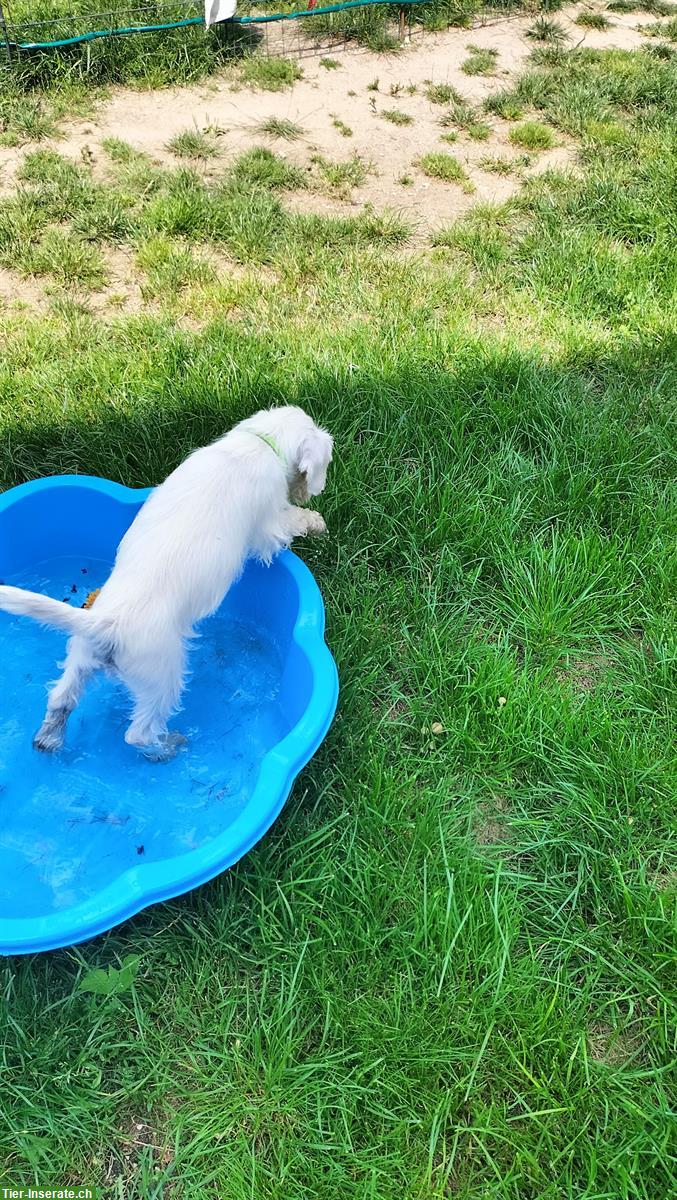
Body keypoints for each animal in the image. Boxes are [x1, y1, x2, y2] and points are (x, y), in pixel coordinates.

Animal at [0, 403, 333, 758]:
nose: (309, 494)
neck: (258, 442)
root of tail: (106, 624)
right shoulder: (269, 527)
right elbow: (288, 522)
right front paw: (315, 522)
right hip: (162, 675)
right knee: (138, 732)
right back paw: (166, 748)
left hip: (81, 656)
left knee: (60, 699)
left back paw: (48, 738)